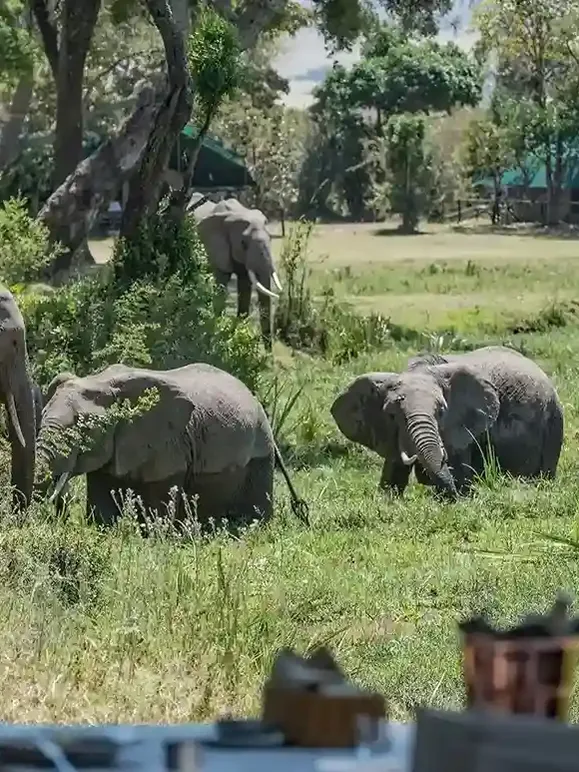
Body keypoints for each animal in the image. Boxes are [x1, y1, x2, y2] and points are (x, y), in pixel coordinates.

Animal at [189, 195, 283, 350]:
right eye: (243, 244)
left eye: (270, 238)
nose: (269, 355)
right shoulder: (216, 249)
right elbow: (221, 285)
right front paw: (216, 335)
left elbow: (245, 288)